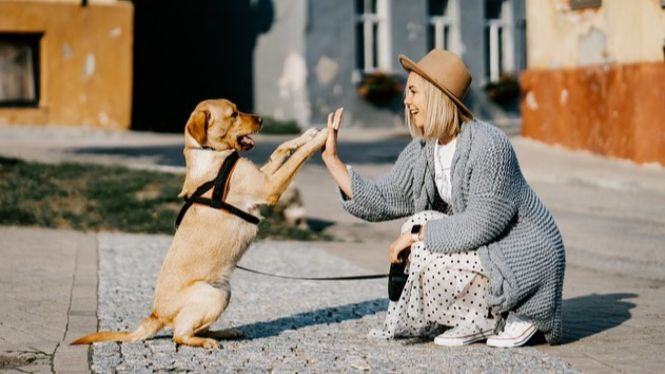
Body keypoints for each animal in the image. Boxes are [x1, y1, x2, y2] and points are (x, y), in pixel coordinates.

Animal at [71, 98, 328, 348]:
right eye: (233, 114)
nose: (262, 120)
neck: (211, 154)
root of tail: (156, 315)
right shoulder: (269, 187)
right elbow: (298, 157)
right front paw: (323, 137)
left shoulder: (263, 177)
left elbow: (281, 148)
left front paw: (307, 135)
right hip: (214, 295)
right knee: (180, 335)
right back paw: (206, 342)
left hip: (224, 291)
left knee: (195, 328)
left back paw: (224, 333)